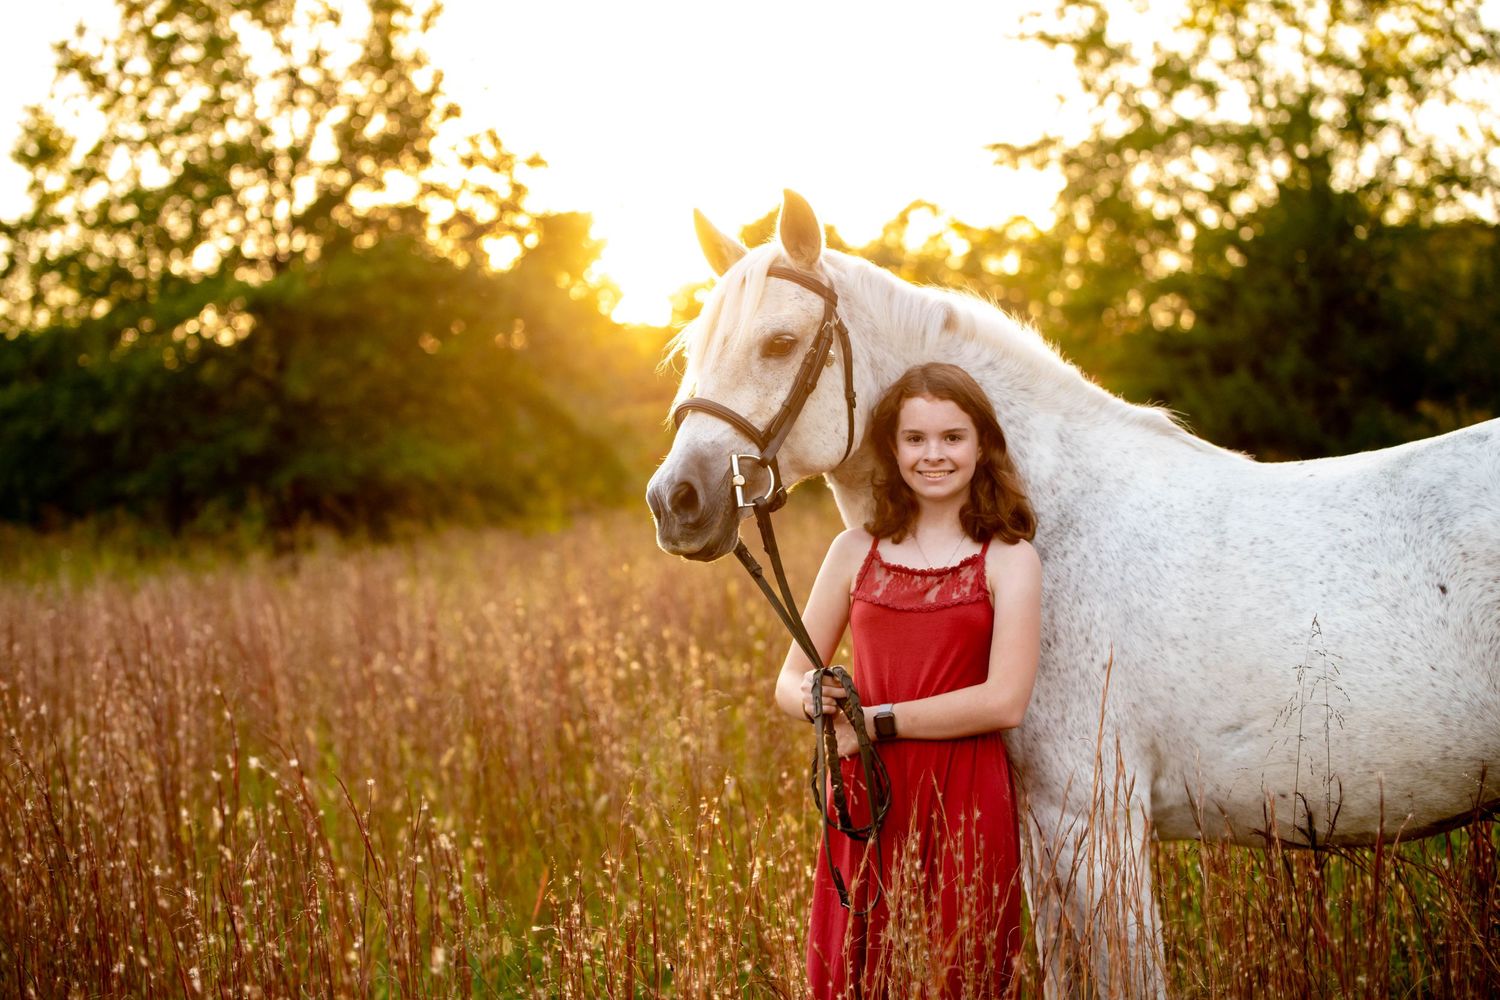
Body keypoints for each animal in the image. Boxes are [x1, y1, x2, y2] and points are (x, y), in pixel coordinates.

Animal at [645, 190, 1500, 996]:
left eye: (780, 343)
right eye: (692, 348)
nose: (675, 501)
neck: (1042, 522)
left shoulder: (1098, 826)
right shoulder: (1042, 832)